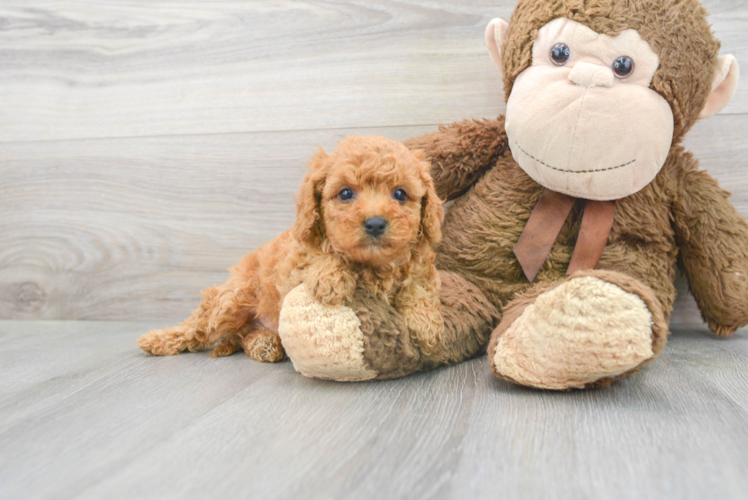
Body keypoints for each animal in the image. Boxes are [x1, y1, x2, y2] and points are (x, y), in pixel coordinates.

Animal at [137, 135, 444, 362]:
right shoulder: (294, 260)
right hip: (233, 299)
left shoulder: (419, 266)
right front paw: (331, 278)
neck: (370, 264)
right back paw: (158, 339)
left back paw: (265, 344)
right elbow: (320, 255)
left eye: (400, 194)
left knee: (242, 337)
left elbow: (418, 287)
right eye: (345, 193)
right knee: (198, 325)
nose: (376, 224)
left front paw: (427, 325)